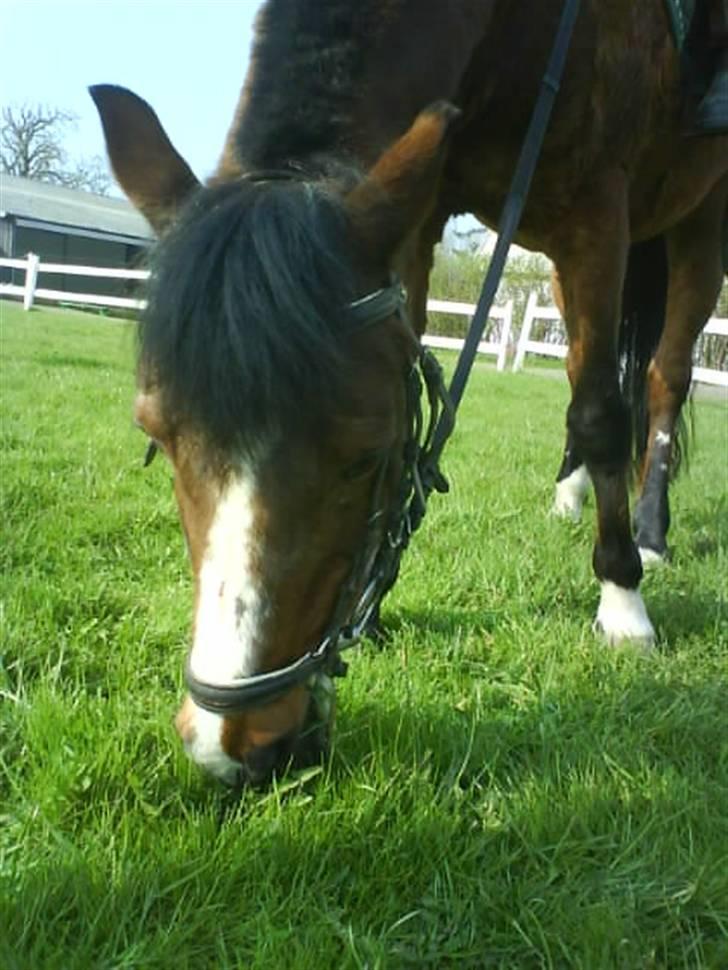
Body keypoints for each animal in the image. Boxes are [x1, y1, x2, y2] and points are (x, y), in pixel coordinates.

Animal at [91, 0, 728, 787]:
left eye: (366, 453)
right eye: (155, 437)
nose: (230, 746)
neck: (521, 30)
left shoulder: (597, 212)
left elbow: (603, 413)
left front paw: (623, 601)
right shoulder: (420, 214)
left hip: (699, 220)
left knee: (660, 378)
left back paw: (649, 532)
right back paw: (571, 491)